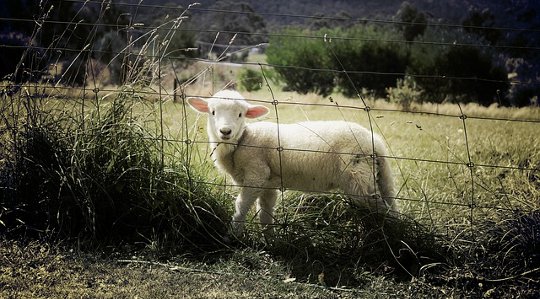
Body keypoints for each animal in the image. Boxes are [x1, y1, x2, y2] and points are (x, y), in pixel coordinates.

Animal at [189, 90, 396, 236]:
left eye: (241, 114)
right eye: (212, 112)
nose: (225, 131)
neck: (242, 141)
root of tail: (375, 143)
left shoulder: (256, 174)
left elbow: (241, 206)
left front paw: (232, 235)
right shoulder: (268, 183)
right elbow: (265, 213)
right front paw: (270, 240)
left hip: (358, 179)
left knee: (382, 210)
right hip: (378, 177)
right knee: (390, 205)